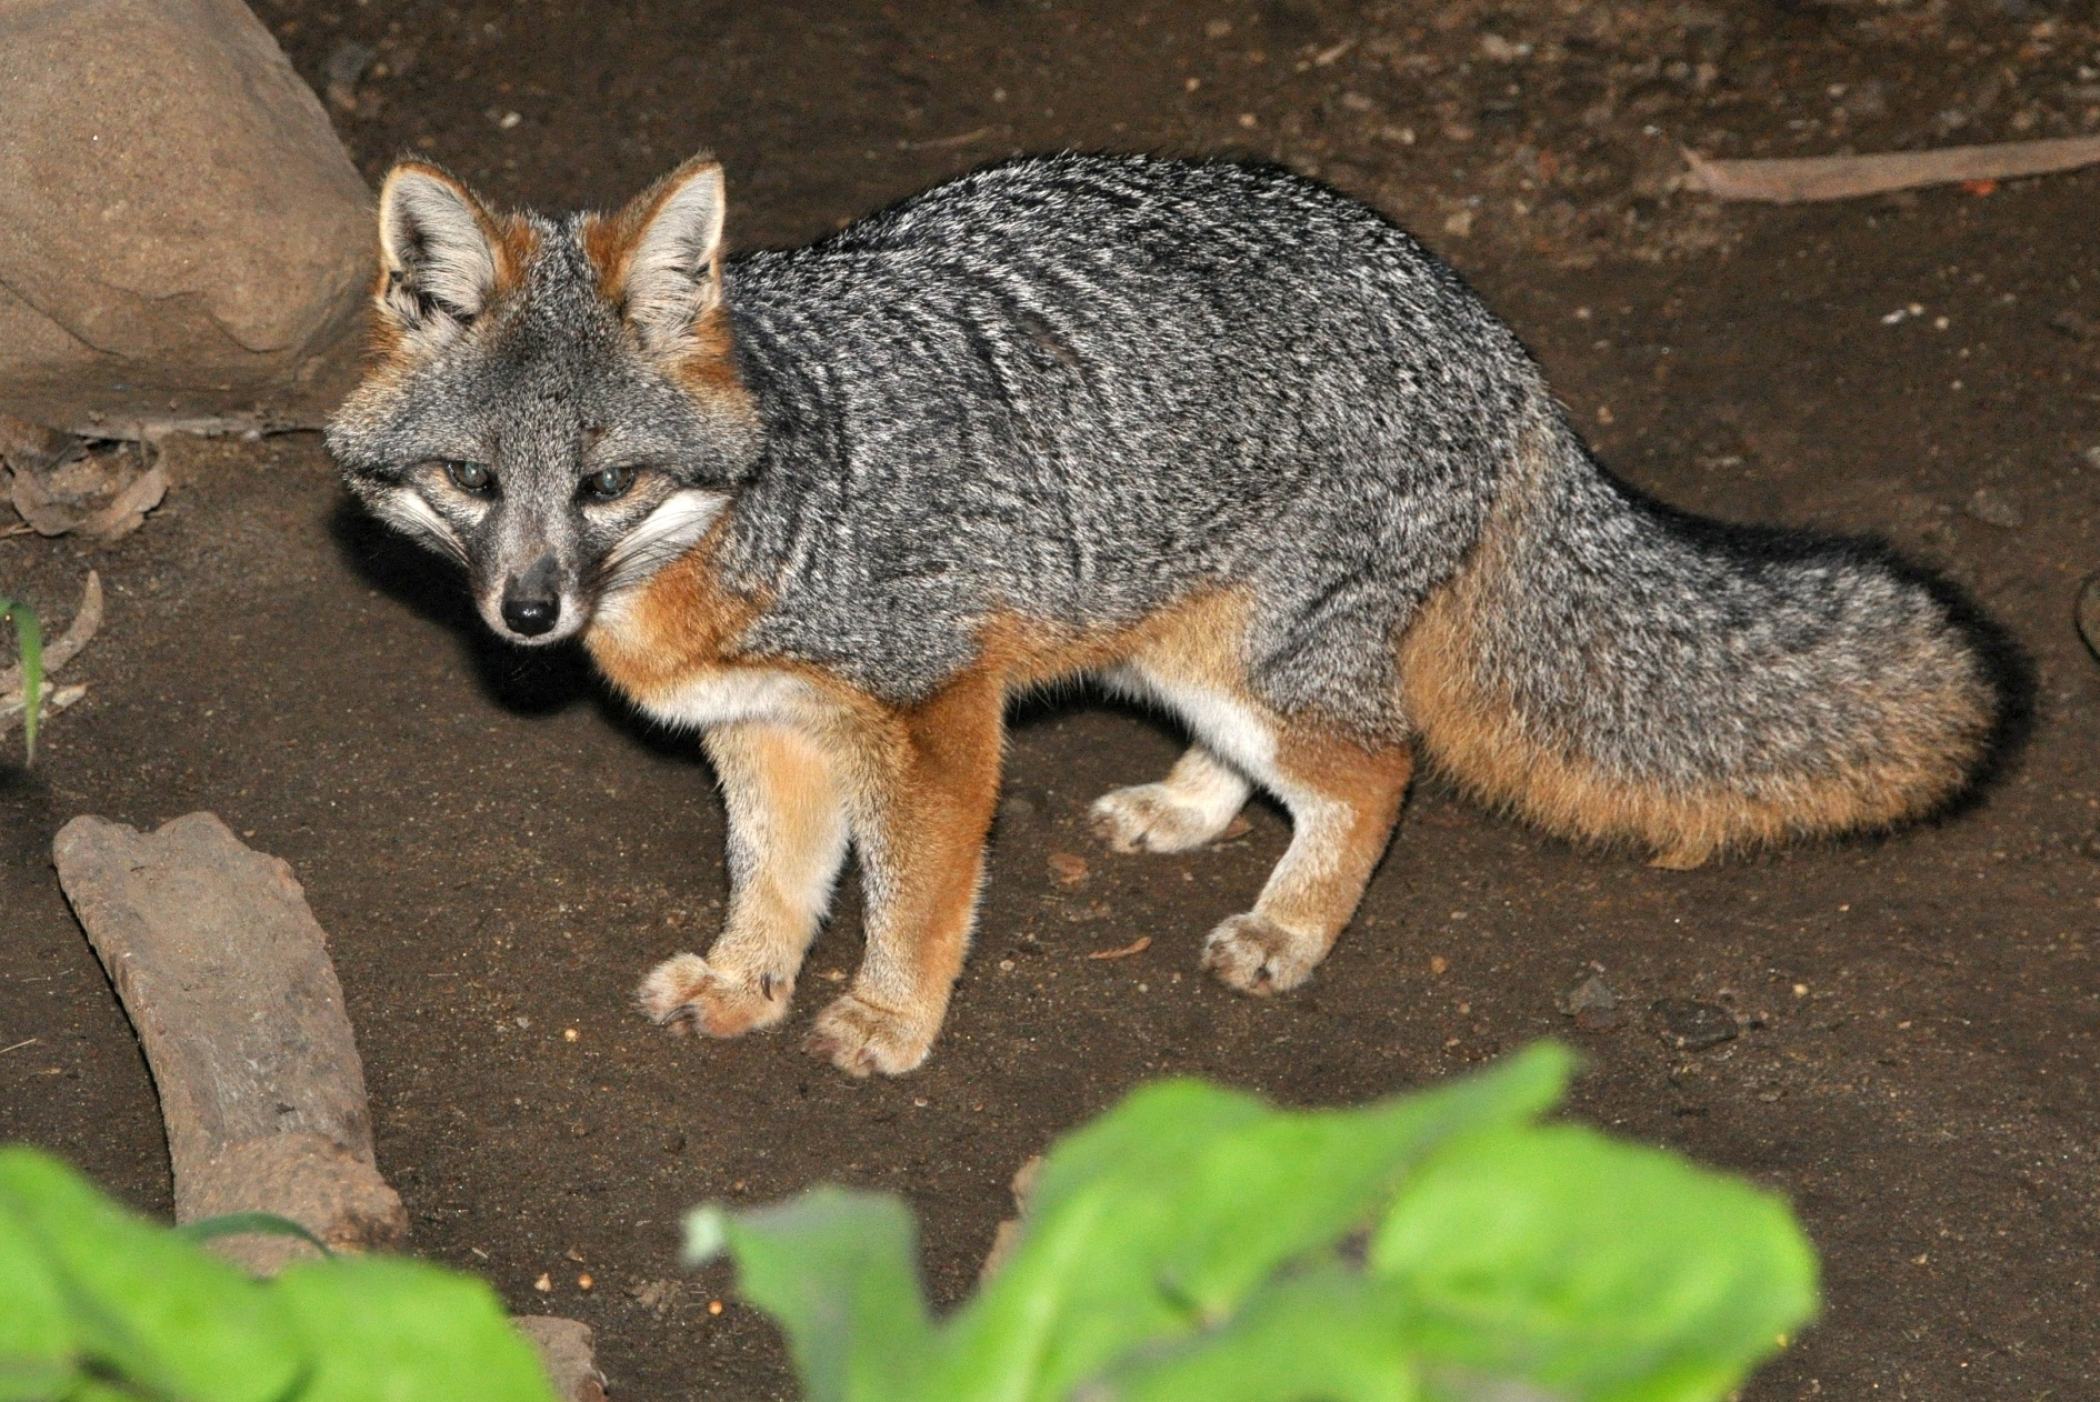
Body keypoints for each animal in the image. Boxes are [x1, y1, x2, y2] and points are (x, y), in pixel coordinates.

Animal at [327, 151, 2015, 1074]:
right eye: (471, 480)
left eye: (607, 482)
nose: (530, 610)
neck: (769, 501)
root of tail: (1499, 338)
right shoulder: (768, 731)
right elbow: (776, 881)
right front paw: (746, 981)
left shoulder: (933, 714)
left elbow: (913, 891)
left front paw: (892, 1021)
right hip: (1167, 635)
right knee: (1291, 763)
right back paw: (1193, 808)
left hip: (1252, 658)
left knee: (1376, 767)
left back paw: (1290, 927)